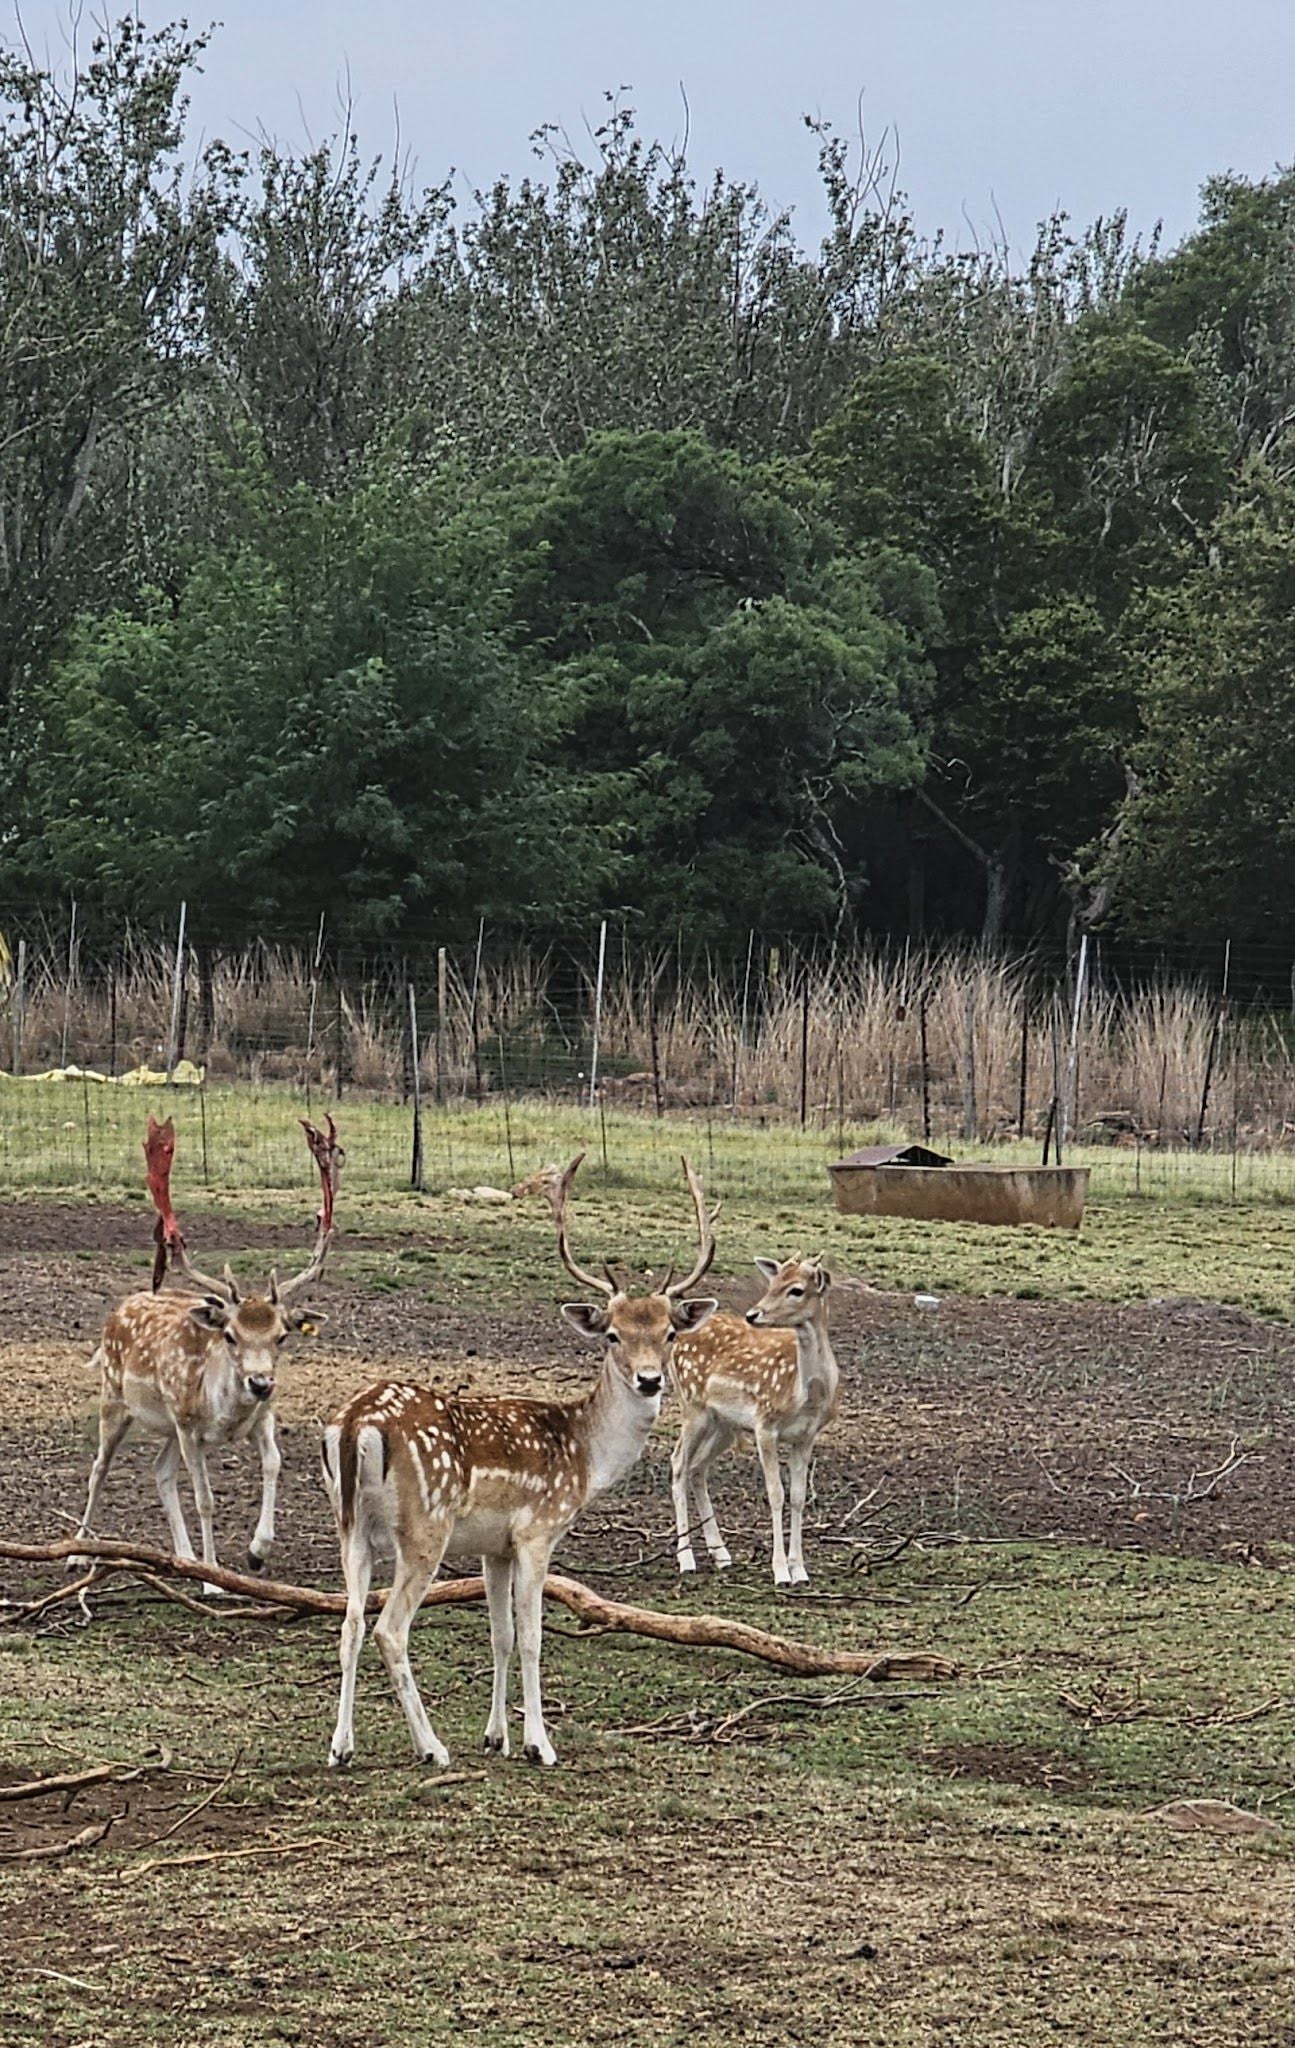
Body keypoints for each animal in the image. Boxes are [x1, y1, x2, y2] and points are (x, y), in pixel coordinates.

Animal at [72, 1114, 338, 1589]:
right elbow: (205, 1498)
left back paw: (184, 1556)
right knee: (99, 1467)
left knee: (160, 1472)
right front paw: (214, 1578)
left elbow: (274, 1464)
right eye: (230, 1335)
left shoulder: (260, 1420)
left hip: (168, 1429)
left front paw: (255, 1552)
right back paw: (78, 1552)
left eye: (281, 1336)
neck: (225, 1414)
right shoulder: (189, 1427)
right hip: (116, 1399)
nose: (261, 1382)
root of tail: (118, 1310)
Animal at [317, 1163, 713, 1769]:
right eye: (612, 1334)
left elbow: (499, 1634)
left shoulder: (493, 1546)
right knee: (389, 1629)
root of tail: (356, 1423)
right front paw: (538, 1744)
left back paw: (342, 1747)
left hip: (350, 1527)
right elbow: (531, 1636)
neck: (584, 1455)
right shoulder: (537, 1531)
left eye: (669, 1332)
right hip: (424, 1526)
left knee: (351, 1622)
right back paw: (431, 1748)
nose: (649, 1380)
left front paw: (496, 1736)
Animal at [667, 1245, 840, 1597]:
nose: (753, 1314)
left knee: (697, 1467)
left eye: (795, 1290)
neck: (805, 1394)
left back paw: (721, 1554)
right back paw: (686, 1559)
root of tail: (677, 1336)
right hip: (692, 1406)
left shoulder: (807, 1436)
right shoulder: (765, 1425)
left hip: (723, 1424)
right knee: (678, 1462)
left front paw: (800, 1570)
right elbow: (776, 1494)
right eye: (772, 1283)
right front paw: (780, 1572)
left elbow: (798, 1496)